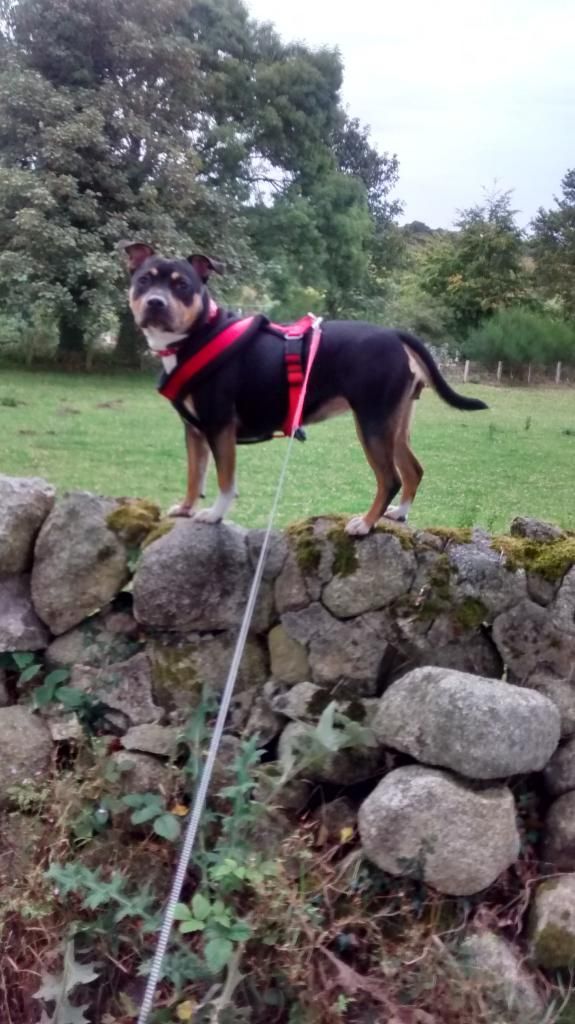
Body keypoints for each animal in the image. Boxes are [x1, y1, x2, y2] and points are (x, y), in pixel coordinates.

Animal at [119, 239, 482, 536]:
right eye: (144, 281)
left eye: (182, 285)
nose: (155, 303)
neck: (199, 334)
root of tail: (394, 334)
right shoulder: (194, 430)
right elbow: (195, 475)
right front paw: (185, 507)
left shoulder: (220, 426)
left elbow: (225, 480)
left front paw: (214, 514)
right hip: (395, 424)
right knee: (413, 470)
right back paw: (399, 513)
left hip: (372, 422)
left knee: (390, 478)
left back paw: (365, 524)